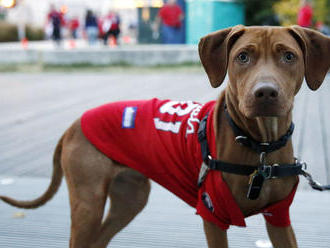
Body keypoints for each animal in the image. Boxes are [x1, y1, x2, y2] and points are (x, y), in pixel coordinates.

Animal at [0, 26, 330, 247]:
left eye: (288, 56)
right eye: (243, 57)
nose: (265, 93)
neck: (259, 143)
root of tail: (74, 123)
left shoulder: (279, 218)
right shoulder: (212, 215)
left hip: (130, 198)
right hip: (88, 203)